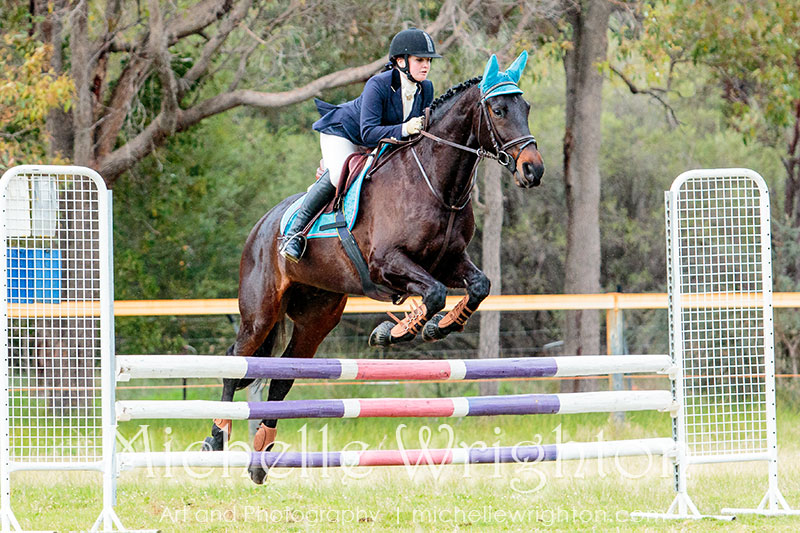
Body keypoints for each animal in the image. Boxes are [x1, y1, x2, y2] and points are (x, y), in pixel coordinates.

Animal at [203, 60, 548, 484]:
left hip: (317, 316)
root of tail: (261, 226)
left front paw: (437, 327)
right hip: (261, 311)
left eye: (526, 108)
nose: (533, 171)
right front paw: (397, 331)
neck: (438, 183)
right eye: (498, 111)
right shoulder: (387, 263)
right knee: (235, 360)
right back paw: (217, 436)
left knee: (281, 378)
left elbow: (478, 286)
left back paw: (259, 460)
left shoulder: (448, 262)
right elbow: (433, 293)